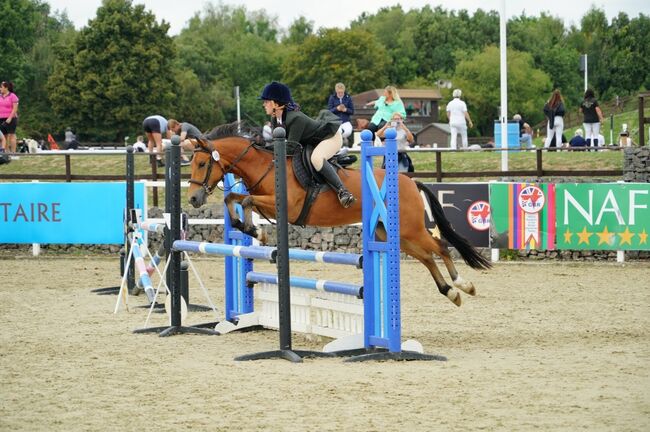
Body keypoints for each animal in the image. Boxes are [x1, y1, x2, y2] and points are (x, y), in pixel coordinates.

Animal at [185, 122, 488, 308]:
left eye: (201, 163)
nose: (194, 199)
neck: (265, 165)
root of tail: (410, 182)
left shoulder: (286, 205)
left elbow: (245, 199)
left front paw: (256, 231)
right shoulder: (265, 203)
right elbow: (232, 198)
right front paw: (248, 228)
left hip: (410, 228)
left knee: (440, 246)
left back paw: (464, 285)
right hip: (392, 232)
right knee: (426, 256)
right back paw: (451, 292)